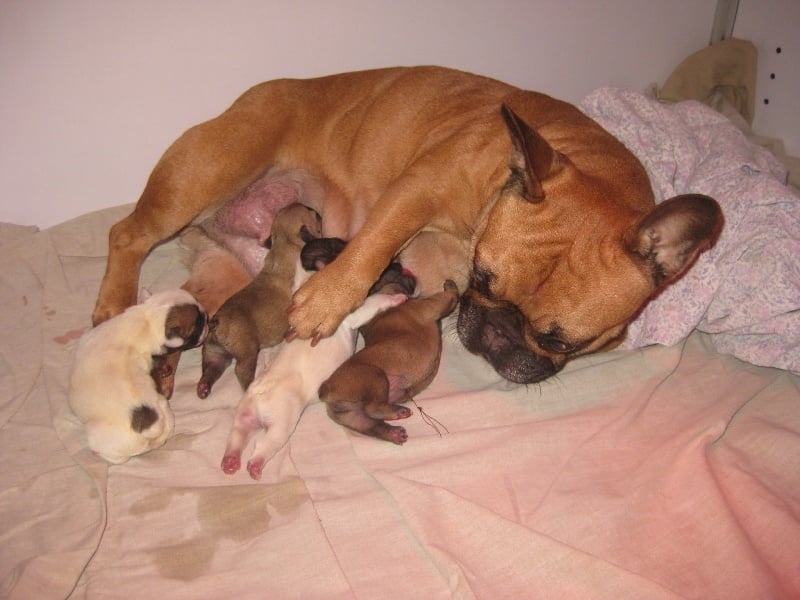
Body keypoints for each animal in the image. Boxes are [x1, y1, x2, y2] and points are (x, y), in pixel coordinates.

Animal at [68, 290, 209, 464]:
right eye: (198, 324)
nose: (207, 317)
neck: (144, 319)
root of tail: (150, 429)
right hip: (165, 412)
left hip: (103, 439)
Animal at [197, 203, 322, 398]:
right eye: (312, 212)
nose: (318, 212)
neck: (285, 241)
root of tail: (216, 321)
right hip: (247, 350)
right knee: (241, 371)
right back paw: (250, 385)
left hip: (214, 350)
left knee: (212, 366)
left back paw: (203, 386)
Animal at [318, 278, 456, 442]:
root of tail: (327, 388)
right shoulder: (431, 305)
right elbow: (449, 297)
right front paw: (451, 285)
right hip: (375, 376)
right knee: (372, 408)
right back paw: (398, 413)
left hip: (351, 414)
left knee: (371, 424)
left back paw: (394, 432)